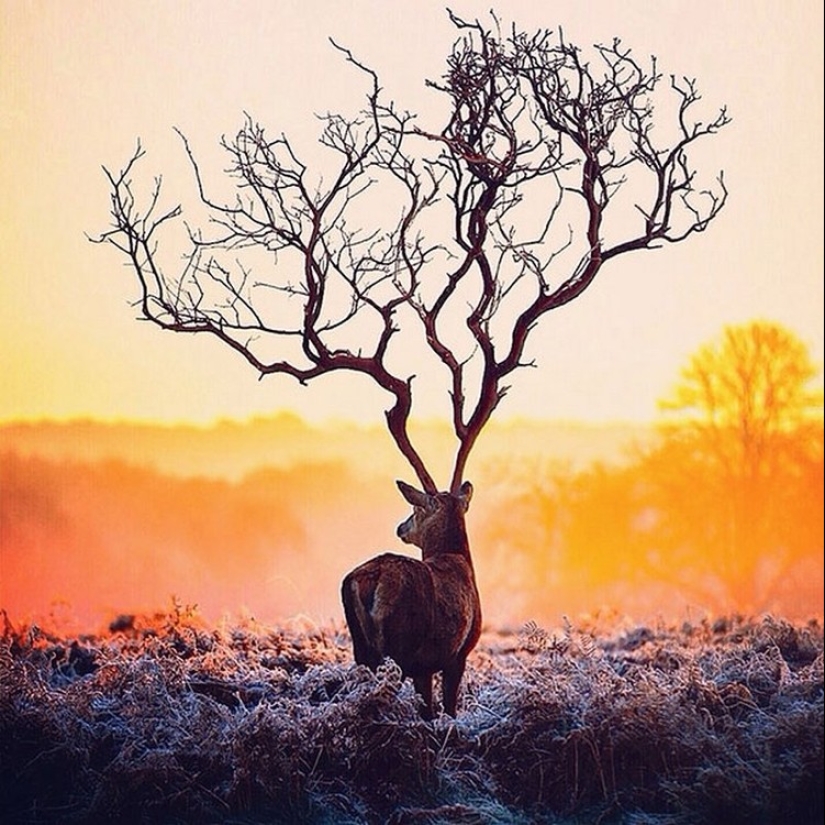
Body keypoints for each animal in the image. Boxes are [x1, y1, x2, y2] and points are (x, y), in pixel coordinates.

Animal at [342, 480, 482, 716]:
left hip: (361, 647)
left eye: (415, 510)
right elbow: (446, 710)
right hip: (399, 647)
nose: (401, 528)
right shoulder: (457, 655)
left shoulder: (423, 668)